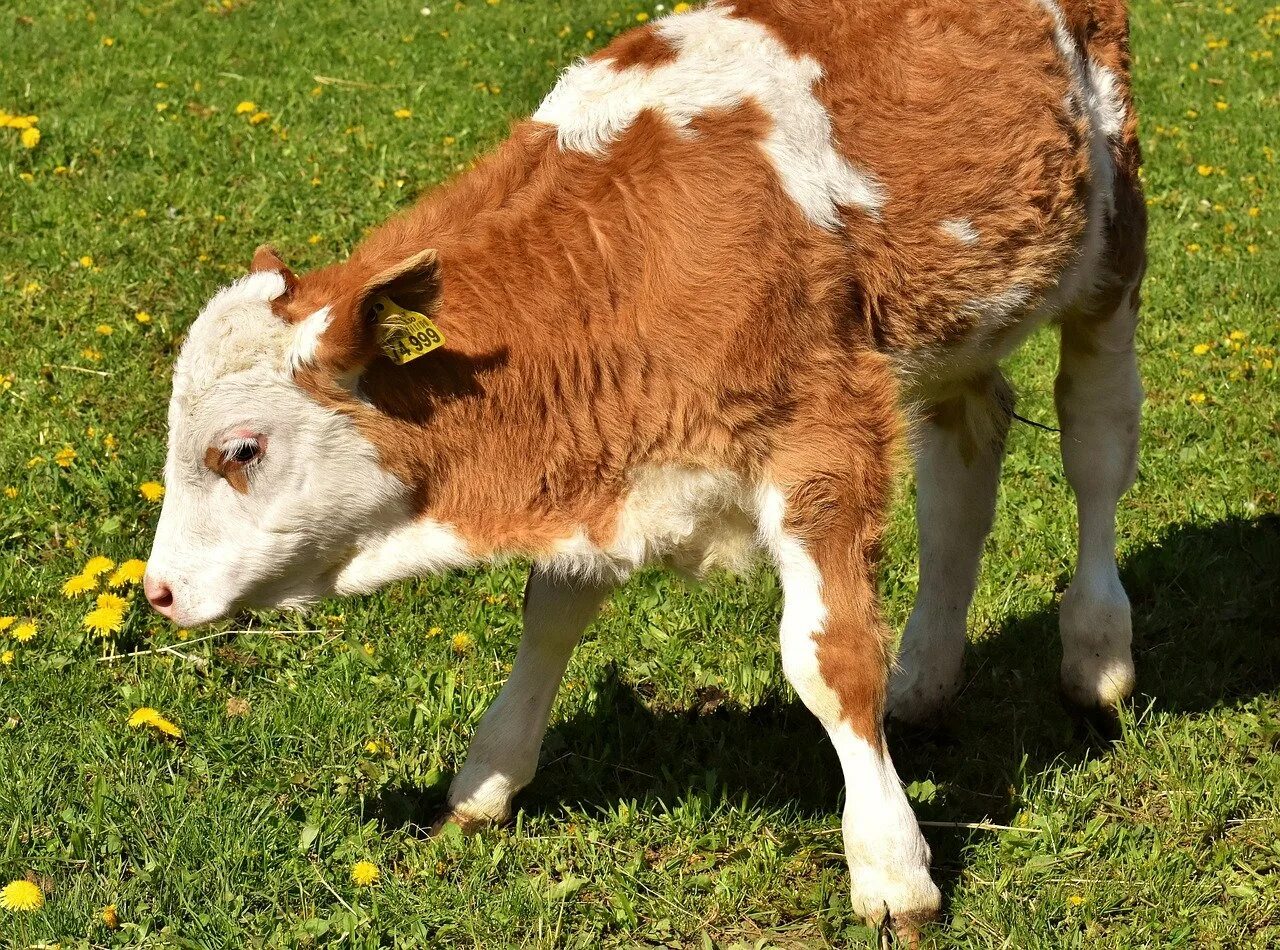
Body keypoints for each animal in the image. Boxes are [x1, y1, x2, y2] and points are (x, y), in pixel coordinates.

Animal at [145, 0, 1146, 937]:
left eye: (241, 449)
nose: (156, 591)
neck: (621, 259)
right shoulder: (602, 469)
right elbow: (549, 617)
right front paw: (486, 782)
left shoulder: (822, 437)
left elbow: (829, 660)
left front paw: (892, 868)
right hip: (955, 323)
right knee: (963, 469)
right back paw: (928, 678)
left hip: (1111, 251)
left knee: (1095, 448)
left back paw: (1097, 656)